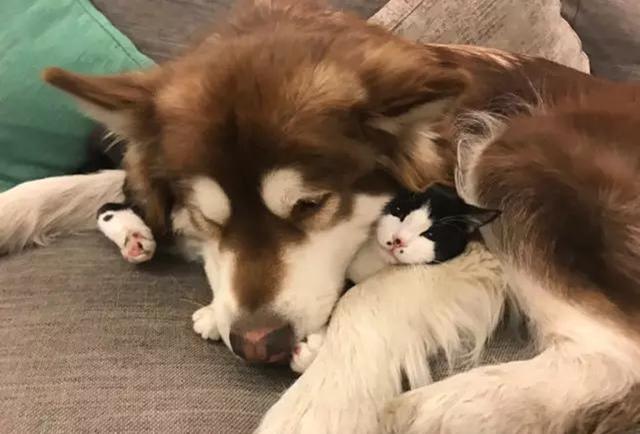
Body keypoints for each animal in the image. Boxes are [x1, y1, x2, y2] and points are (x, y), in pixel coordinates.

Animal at [1, 0, 639, 431]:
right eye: (207, 217)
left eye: (310, 205)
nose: (259, 345)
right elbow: (97, 183)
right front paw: (15, 208)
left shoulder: (467, 238)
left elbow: (366, 300)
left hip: (510, 151)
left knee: (614, 356)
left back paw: (427, 410)